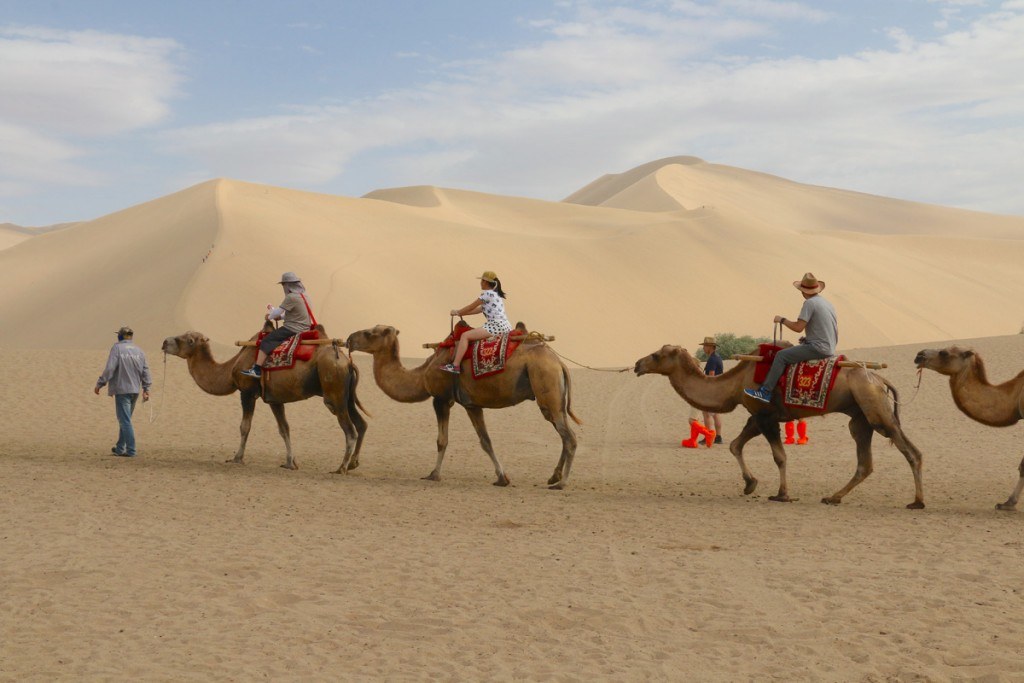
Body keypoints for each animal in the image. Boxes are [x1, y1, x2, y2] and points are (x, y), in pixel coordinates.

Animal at [159, 325, 368, 475]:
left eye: (189, 340)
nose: (164, 342)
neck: (230, 368)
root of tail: (347, 361)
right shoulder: (275, 399)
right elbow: (284, 429)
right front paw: (290, 462)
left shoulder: (247, 391)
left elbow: (244, 426)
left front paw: (237, 458)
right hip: (347, 395)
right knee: (361, 424)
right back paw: (353, 464)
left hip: (333, 391)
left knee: (350, 430)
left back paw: (341, 468)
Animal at [346, 325, 581, 489]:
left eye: (369, 333)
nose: (348, 339)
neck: (422, 375)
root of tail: (560, 364)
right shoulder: (472, 404)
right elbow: (485, 441)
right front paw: (502, 478)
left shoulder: (441, 399)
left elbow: (442, 440)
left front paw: (433, 474)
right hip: (552, 400)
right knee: (563, 432)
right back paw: (554, 477)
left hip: (546, 385)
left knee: (569, 437)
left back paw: (562, 483)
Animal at [630, 348, 929, 507]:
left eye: (656, 355)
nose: (636, 364)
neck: (735, 383)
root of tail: (880, 379)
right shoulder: (757, 415)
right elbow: (735, 445)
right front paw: (750, 484)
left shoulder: (766, 416)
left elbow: (779, 456)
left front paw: (782, 494)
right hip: (860, 417)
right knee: (865, 461)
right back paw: (833, 497)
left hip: (875, 409)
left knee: (910, 451)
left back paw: (917, 501)